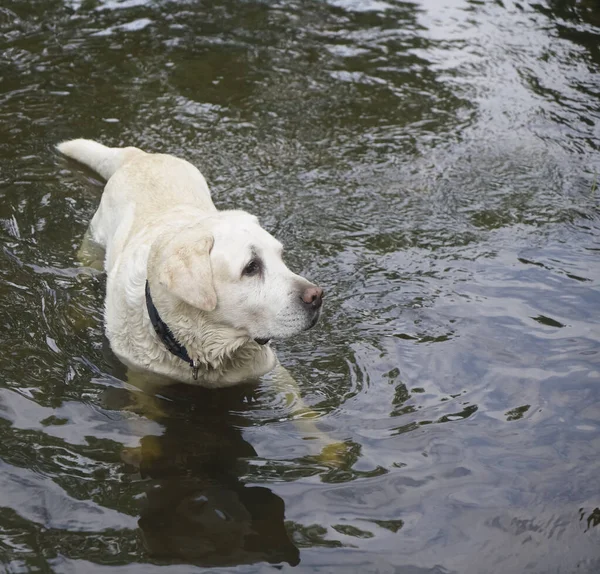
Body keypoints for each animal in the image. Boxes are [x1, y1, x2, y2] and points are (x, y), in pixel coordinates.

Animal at [57, 141, 324, 388]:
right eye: (251, 267)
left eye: (280, 256)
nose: (317, 296)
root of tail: (140, 156)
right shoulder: (141, 379)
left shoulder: (273, 371)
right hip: (92, 246)